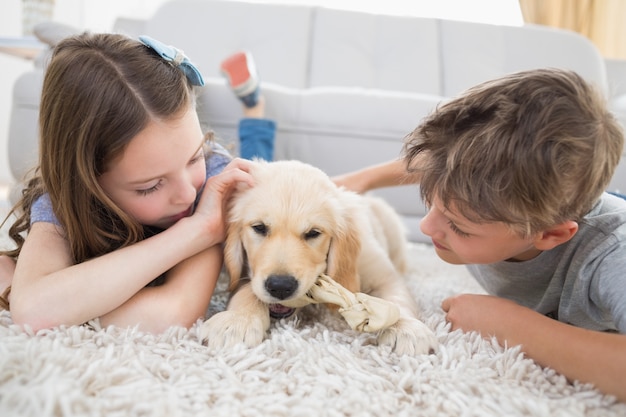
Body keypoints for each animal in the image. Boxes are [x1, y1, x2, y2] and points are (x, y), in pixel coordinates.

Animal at [202, 159, 436, 354]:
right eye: (259, 227)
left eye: (313, 233)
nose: (280, 286)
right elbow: (246, 290)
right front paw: (236, 321)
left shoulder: (382, 272)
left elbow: (396, 299)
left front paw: (405, 329)